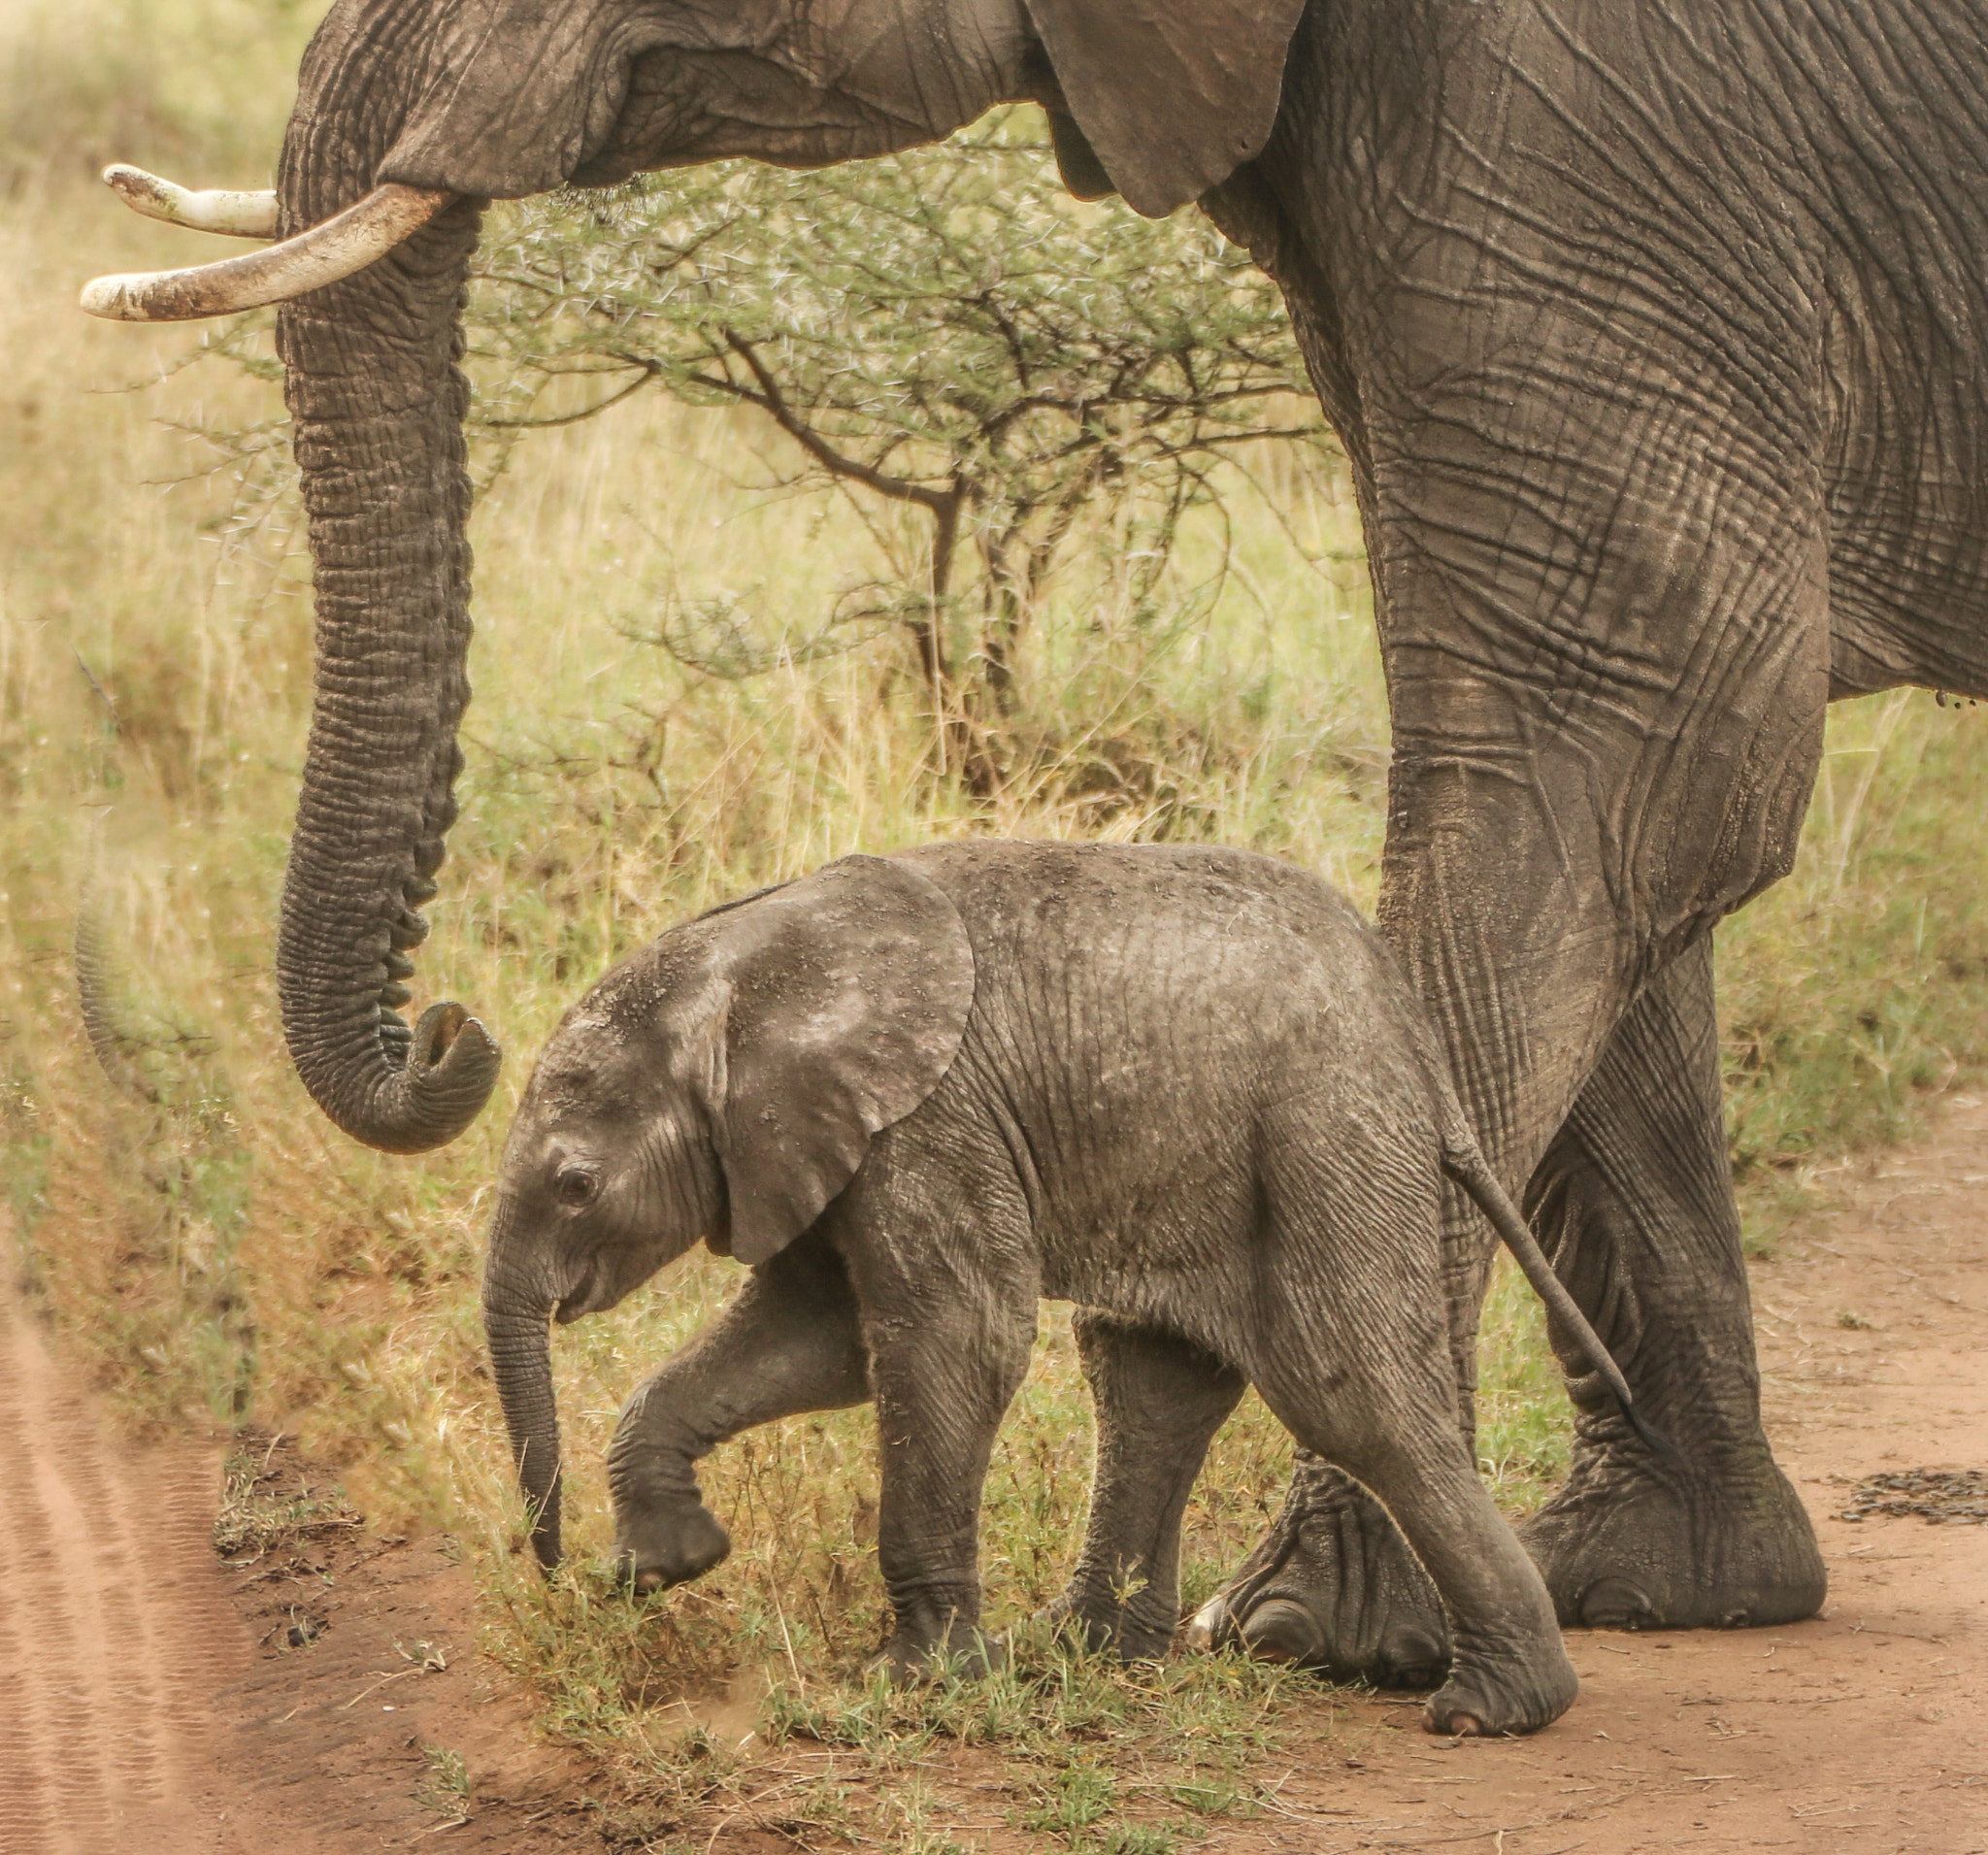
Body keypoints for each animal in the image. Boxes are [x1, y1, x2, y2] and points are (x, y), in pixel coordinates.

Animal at [480, 839, 1645, 1734]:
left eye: (577, 1185)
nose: (561, 1574)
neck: (745, 962)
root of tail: (1419, 1043)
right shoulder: (817, 1137)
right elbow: (823, 1339)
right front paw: (667, 1562)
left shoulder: (932, 1116)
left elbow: (950, 1335)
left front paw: (912, 1682)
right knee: (1150, 1373)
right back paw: (1077, 1652)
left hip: (1326, 1133)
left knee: (1351, 1393)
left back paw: (1491, 1712)